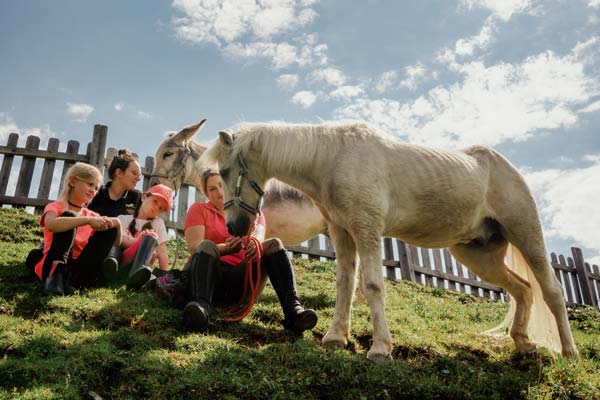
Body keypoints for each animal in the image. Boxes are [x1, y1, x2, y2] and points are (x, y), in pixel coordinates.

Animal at [204, 121, 580, 362]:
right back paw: (523, 343)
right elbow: (345, 284)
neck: (333, 158)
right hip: (478, 254)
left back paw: (569, 352)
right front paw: (335, 338)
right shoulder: (343, 234)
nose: (235, 227)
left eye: (225, 172)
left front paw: (380, 348)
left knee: (551, 291)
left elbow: (371, 286)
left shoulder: (368, 230)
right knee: (522, 290)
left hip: (526, 233)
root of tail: (505, 165)